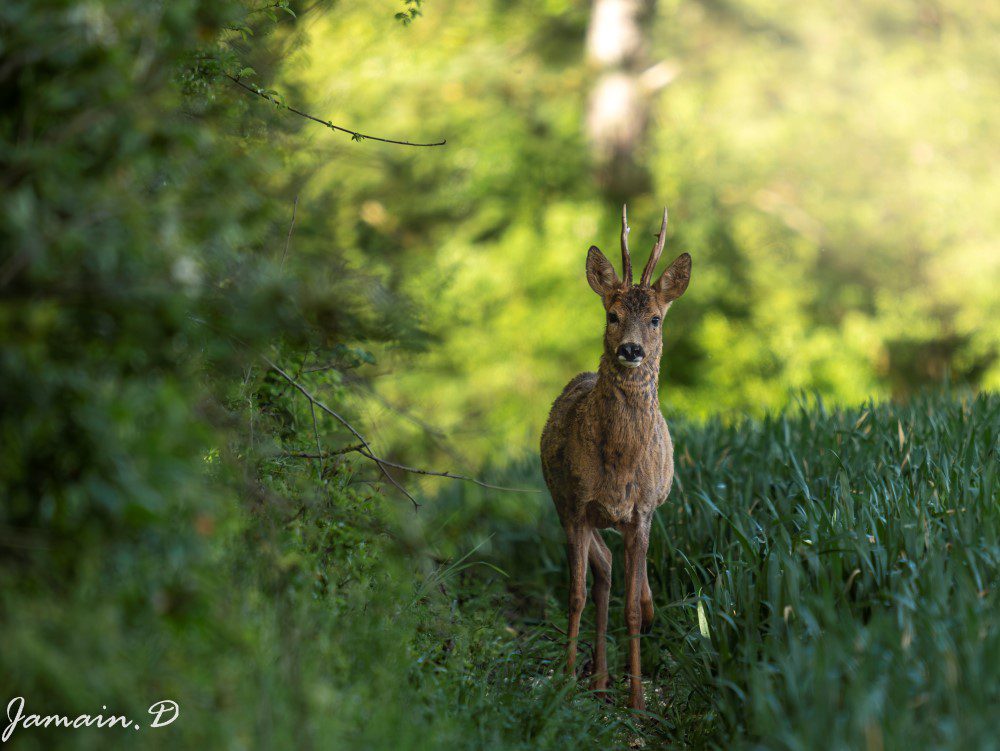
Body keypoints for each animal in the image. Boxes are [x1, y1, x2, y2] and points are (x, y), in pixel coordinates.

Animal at [540, 204, 688, 712]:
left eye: (657, 319)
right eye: (612, 314)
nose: (631, 349)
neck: (619, 463)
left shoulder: (641, 511)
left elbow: (631, 607)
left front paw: (639, 700)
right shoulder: (576, 504)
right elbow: (576, 595)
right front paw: (565, 679)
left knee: (622, 580)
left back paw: (611, 673)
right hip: (563, 502)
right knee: (601, 571)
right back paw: (598, 677)